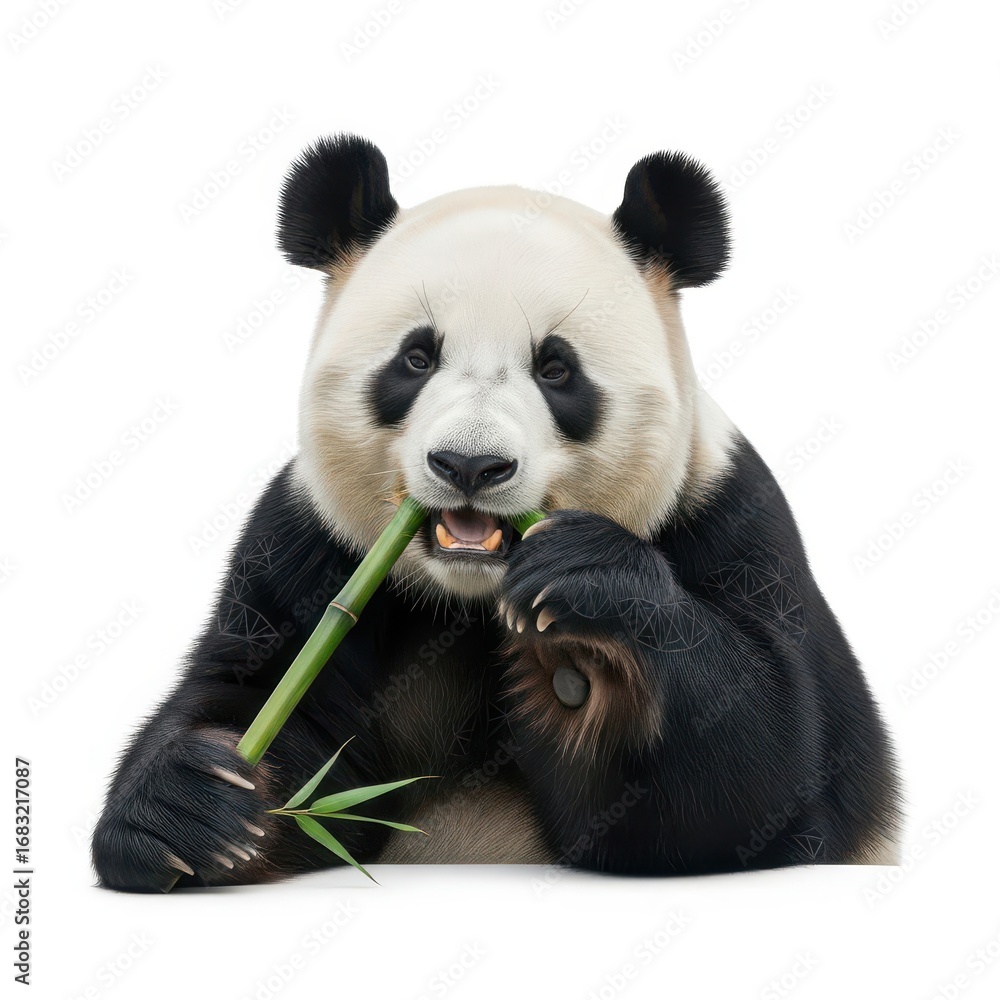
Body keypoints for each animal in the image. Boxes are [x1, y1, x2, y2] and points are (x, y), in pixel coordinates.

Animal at [92, 135, 901, 892]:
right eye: (416, 359)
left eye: (556, 368)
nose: (469, 466)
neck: (470, 599)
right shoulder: (310, 551)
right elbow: (277, 718)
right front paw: (185, 810)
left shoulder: (732, 523)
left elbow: (750, 787)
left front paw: (581, 617)